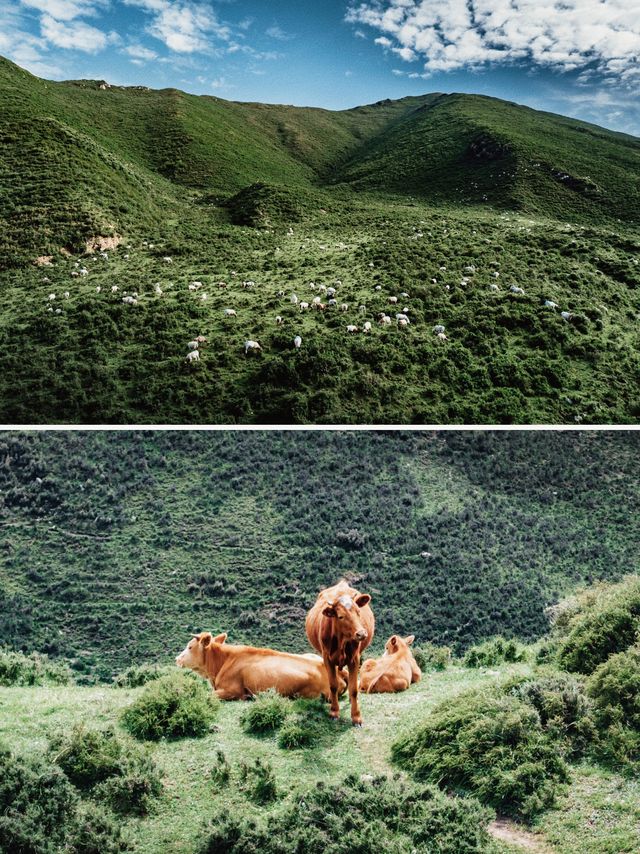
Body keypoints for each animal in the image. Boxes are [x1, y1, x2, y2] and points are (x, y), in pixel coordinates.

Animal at [306, 580, 376, 724]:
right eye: (340, 616)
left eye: (358, 612)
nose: (361, 633)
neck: (341, 641)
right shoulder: (327, 658)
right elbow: (333, 685)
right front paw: (334, 711)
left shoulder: (355, 658)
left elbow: (354, 688)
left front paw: (356, 716)